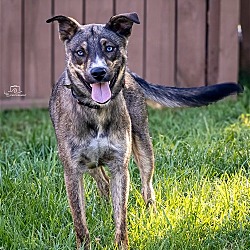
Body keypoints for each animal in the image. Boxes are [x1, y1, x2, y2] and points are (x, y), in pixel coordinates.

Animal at [46, 12, 242, 250]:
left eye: (109, 48)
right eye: (80, 52)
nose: (98, 72)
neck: (96, 111)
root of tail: (131, 75)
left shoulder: (120, 168)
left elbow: (121, 218)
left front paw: (121, 243)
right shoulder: (73, 171)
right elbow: (80, 221)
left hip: (144, 146)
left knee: (147, 188)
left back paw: (152, 215)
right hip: (88, 164)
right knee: (102, 182)